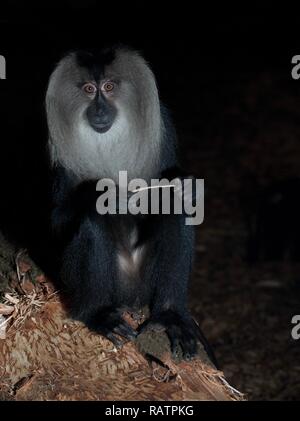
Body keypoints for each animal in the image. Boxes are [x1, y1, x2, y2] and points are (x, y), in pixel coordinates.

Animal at [46, 44, 216, 362]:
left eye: (109, 87)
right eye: (89, 89)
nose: (100, 110)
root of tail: (134, 300)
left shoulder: (164, 123)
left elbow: (173, 192)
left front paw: (187, 186)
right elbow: (56, 220)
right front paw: (104, 194)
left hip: (145, 284)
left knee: (172, 206)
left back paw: (170, 316)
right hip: (111, 283)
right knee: (92, 222)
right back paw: (99, 313)